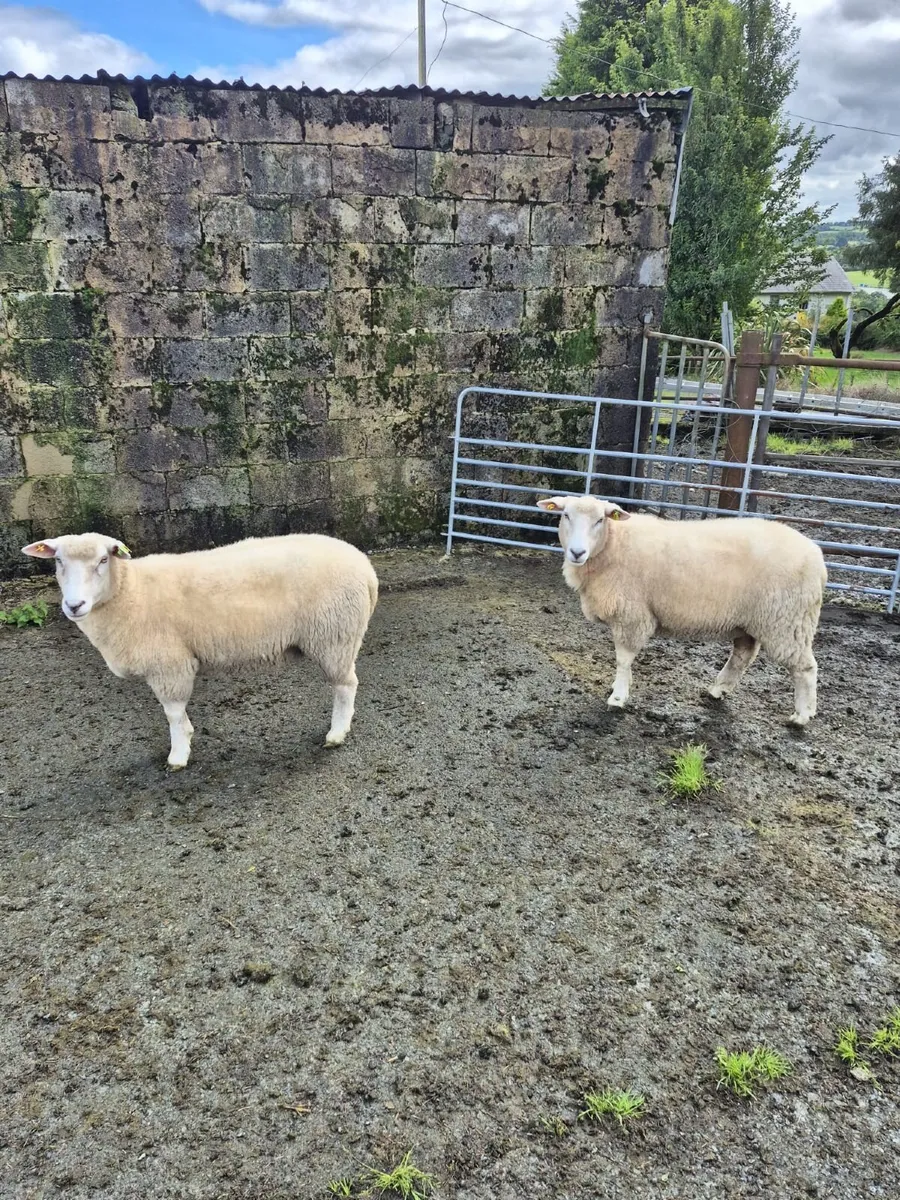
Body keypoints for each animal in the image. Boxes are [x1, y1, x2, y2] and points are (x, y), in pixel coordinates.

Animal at [22, 531, 379, 768]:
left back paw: (337, 733)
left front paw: (178, 755)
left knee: (345, 686)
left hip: (335, 636)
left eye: (103, 559)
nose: (74, 605)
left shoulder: (169, 664)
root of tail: (365, 566)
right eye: (58, 561)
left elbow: (173, 714)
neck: (129, 591)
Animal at [536, 495, 827, 725]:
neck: (613, 543)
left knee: (805, 668)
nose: (577, 552)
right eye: (565, 515)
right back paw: (718, 690)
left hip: (788, 622)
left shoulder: (632, 615)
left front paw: (618, 696)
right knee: (742, 655)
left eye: (600, 520)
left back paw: (802, 716)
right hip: (751, 621)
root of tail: (817, 555)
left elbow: (623, 659)